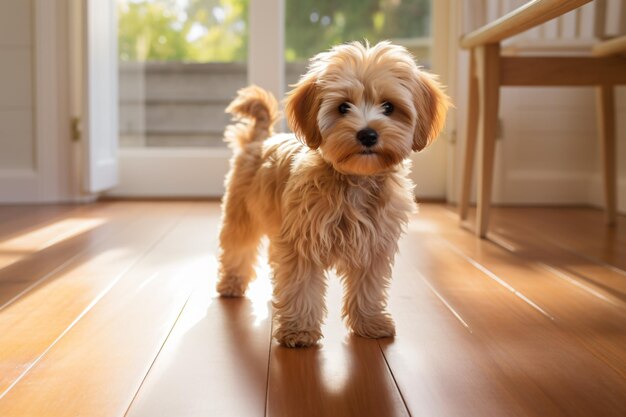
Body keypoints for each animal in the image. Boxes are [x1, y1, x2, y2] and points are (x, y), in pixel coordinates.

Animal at [217, 41, 446, 348]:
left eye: (388, 107)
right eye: (343, 107)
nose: (368, 135)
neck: (356, 180)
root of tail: (260, 138)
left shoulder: (374, 246)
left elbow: (369, 288)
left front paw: (370, 323)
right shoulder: (302, 242)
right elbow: (301, 287)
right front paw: (299, 330)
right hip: (241, 213)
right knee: (237, 247)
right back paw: (231, 283)